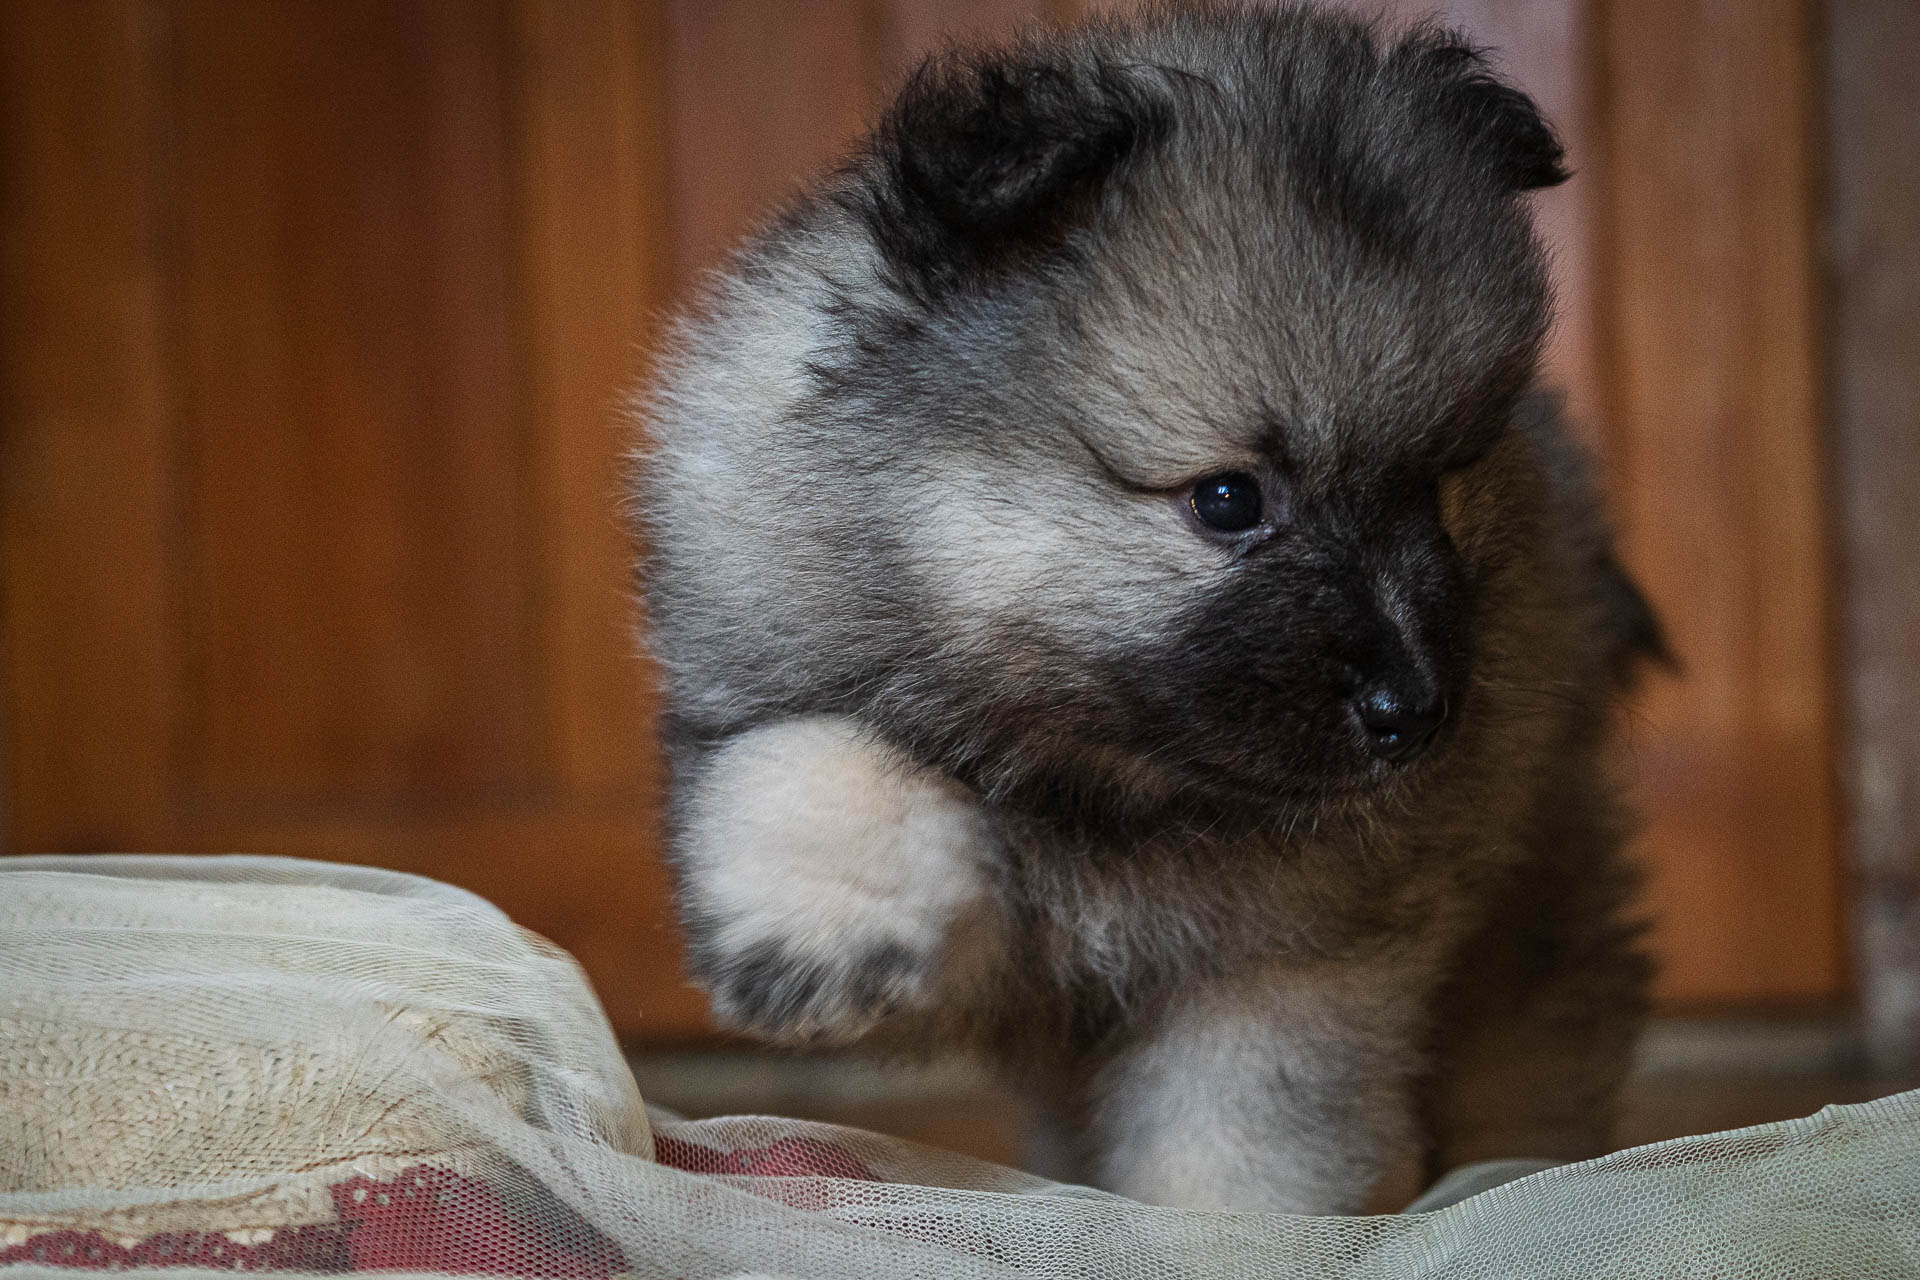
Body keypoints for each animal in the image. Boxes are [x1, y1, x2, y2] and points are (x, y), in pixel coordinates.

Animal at [629, 5, 1666, 1220]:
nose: (1414, 710)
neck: (1098, 777)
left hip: (1532, 921)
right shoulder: (777, 706)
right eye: (1228, 499)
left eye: (1439, 487)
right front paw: (829, 922)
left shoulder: (1283, 967)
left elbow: (1238, 1151)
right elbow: (813, 751)